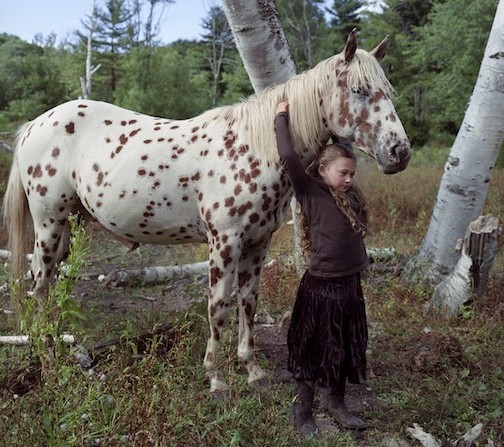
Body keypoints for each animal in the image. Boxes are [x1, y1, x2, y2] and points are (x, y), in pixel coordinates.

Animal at [2, 29, 410, 398]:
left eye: (388, 90)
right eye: (359, 90)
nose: (399, 152)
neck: (255, 147)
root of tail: (34, 125)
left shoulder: (257, 244)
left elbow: (248, 302)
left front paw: (253, 371)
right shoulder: (224, 243)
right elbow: (218, 306)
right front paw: (216, 378)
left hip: (67, 227)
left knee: (51, 285)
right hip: (49, 224)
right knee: (39, 284)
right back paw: (48, 360)